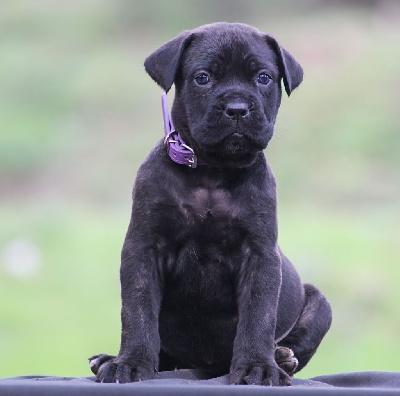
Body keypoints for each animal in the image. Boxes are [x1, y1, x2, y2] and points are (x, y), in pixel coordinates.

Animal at [90, 22, 332, 386]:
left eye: (263, 78)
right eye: (203, 78)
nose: (237, 109)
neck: (211, 171)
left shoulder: (259, 255)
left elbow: (258, 316)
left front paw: (258, 367)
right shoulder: (144, 248)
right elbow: (138, 310)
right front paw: (130, 363)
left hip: (320, 305)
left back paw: (280, 358)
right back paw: (109, 359)